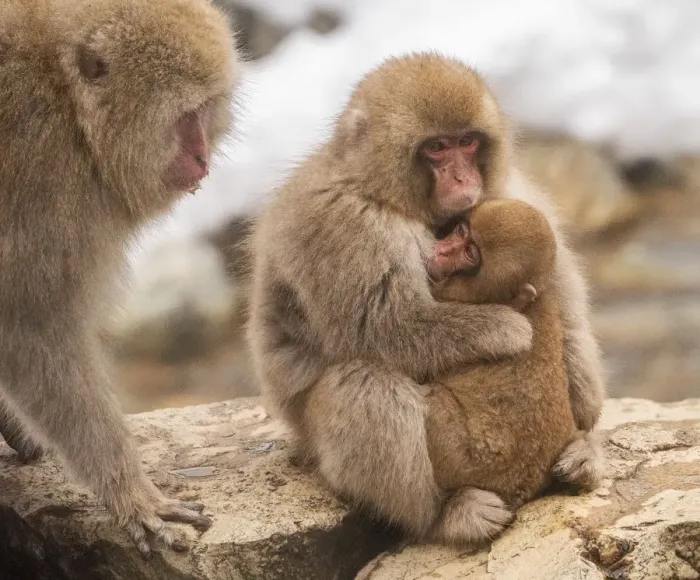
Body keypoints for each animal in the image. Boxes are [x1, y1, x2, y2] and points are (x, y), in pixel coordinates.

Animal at [0, 0, 238, 555]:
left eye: (207, 110)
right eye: (186, 117)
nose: (202, 158)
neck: (69, 108)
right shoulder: (46, 183)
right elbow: (31, 333)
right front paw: (131, 495)